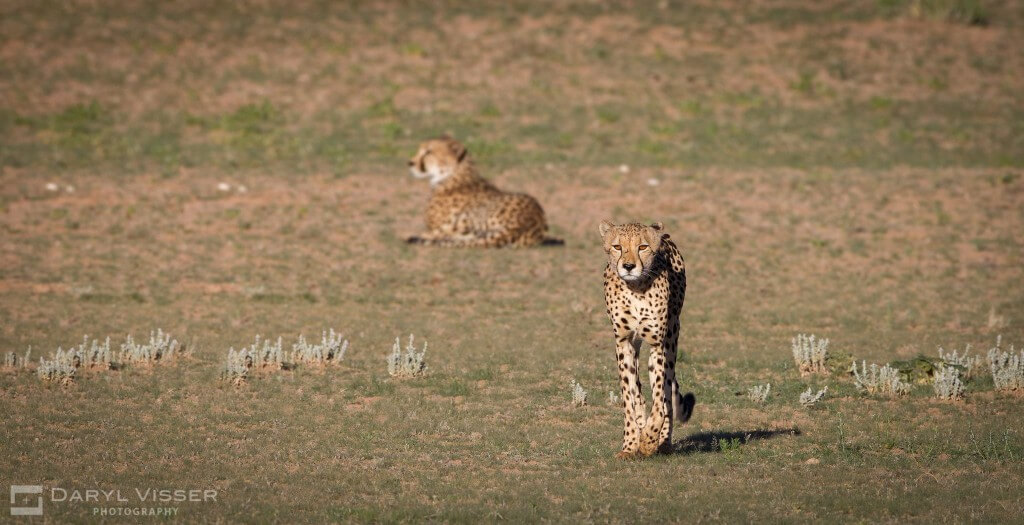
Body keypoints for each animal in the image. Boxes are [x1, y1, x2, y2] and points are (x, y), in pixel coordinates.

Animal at [600, 220, 695, 458]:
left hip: (672, 336)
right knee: (638, 392)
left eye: (642, 247)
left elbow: (661, 398)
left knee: (667, 393)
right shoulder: (623, 343)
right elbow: (629, 399)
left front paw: (649, 441)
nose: (628, 266)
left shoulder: (658, 345)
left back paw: (664, 443)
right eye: (617, 247)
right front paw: (630, 444)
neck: (636, 289)